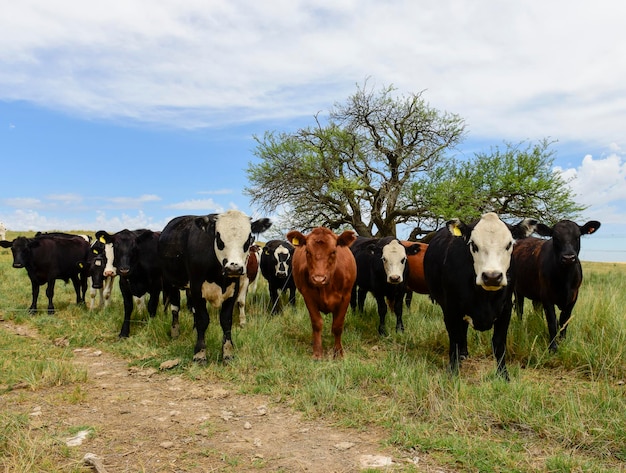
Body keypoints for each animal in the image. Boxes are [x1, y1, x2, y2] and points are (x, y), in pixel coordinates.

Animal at [157, 209, 270, 362]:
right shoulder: (197, 288)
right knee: (175, 309)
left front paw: (228, 353)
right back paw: (175, 332)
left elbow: (226, 320)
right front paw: (200, 353)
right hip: (172, 282)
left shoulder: (233, 289)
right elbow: (202, 319)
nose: (234, 268)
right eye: (219, 239)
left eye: (248, 240)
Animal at [286, 227, 356, 360]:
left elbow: (338, 325)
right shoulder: (308, 297)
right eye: (307, 251)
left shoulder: (346, 297)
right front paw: (317, 353)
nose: (319, 279)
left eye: (333, 251)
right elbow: (317, 323)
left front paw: (338, 353)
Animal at [422, 212, 540, 378]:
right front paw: (453, 371)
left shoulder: (506, 309)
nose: (492, 276)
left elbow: (499, 343)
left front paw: (503, 375)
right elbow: (455, 339)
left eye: (509, 244)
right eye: (473, 245)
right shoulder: (451, 309)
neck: (484, 298)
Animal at [512, 218, 600, 350]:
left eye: (577, 236)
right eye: (555, 237)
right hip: (517, 291)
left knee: (537, 310)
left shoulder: (573, 298)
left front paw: (562, 342)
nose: (568, 258)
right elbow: (552, 321)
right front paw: (552, 347)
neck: (565, 280)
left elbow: (564, 320)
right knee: (519, 310)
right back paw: (520, 328)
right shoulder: (547, 297)